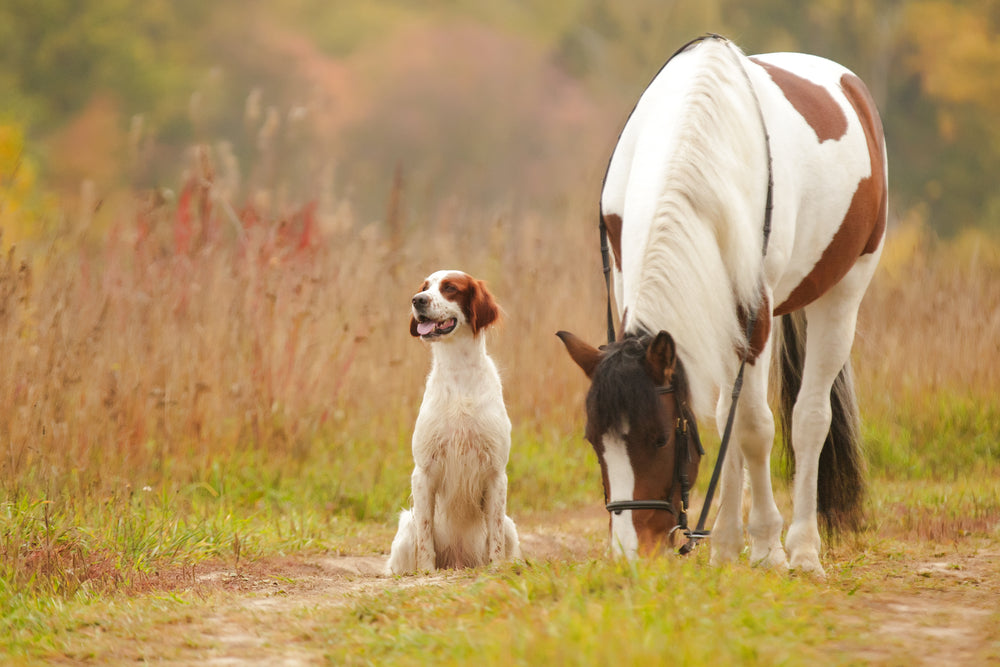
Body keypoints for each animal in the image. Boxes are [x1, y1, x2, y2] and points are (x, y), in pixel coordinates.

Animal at [386, 268, 520, 572]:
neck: (459, 374)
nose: (417, 300)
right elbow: (425, 535)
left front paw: (495, 569)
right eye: (424, 287)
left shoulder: (496, 472)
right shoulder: (423, 471)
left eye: (450, 288)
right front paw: (426, 571)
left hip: (510, 526)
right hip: (406, 526)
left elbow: (494, 535)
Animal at [560, 35, 888, 576]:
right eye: (594, 442)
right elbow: (722, 421)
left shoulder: (753, 312)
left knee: (809, 419)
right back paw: (730, 540)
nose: (632, 554)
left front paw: (768, 545)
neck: (697, 148)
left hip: (844, 290)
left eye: (659, 439)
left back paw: (802, 549)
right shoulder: (642, 286)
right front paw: (733, 542)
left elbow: (754, 427)